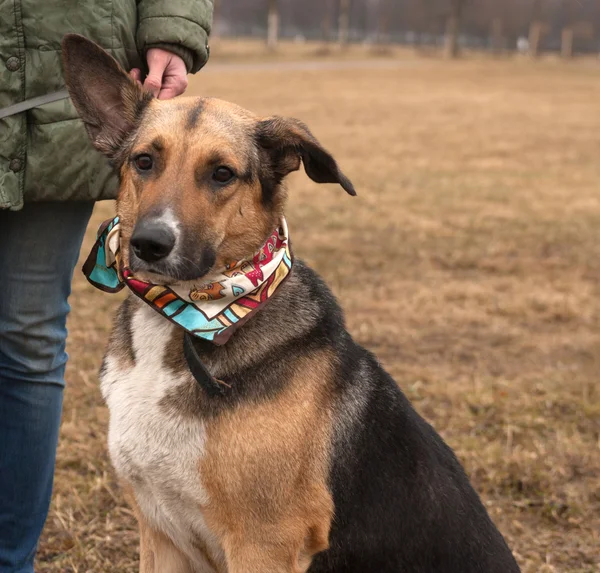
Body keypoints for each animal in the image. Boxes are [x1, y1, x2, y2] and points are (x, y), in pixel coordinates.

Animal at [62, 34, 520, 572]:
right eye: (144, 161)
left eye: (222, 174)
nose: (149, 244)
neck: (189, 313)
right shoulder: (160, 532)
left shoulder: (263, 542)